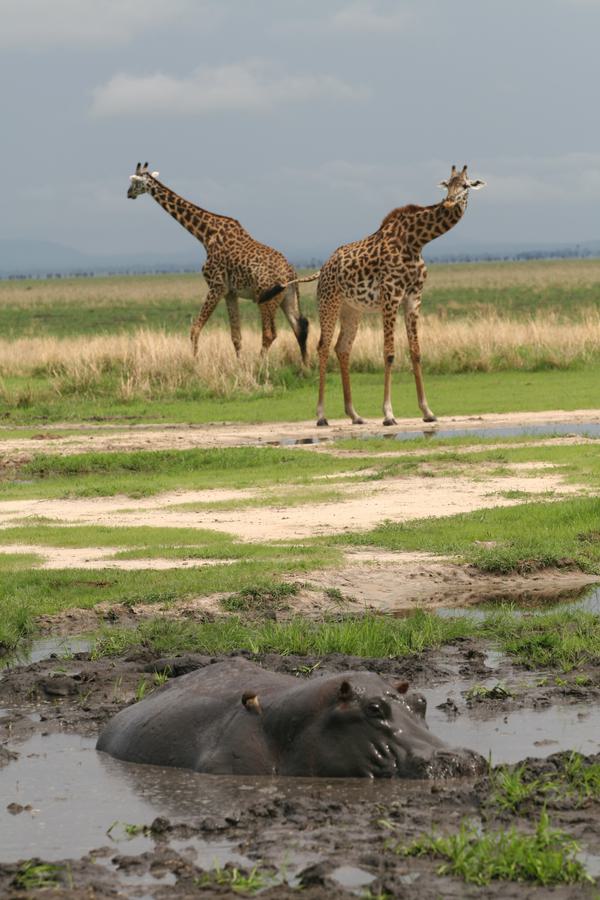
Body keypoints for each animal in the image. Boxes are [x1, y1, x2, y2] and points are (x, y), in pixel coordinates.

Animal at [127, 163, 308, 362]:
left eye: (134, 182)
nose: (128, 193)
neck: (206, 235)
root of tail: (290, 273)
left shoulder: (216, 286)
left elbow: (195, 328)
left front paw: (194, 361)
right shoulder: (230, 292)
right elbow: (236, 336)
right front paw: (239, 363)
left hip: (267, 298)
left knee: (270, 333)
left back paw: (261, 363)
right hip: (288, 297)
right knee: (299, 328)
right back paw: (305, 365)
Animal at [262, 165, 485, 426]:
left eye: (466, 186)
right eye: (448, 185)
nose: (449, 202)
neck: (416, 242)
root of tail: (324, 267)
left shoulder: (413, 297)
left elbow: (416, 352)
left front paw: (427, 412)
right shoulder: (391, 296)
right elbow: (389, 353)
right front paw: (388, 414)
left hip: (352, 310)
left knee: (342, 348)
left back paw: (354, 414)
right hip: (328, 302)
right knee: (323, 347)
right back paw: (321, 415)